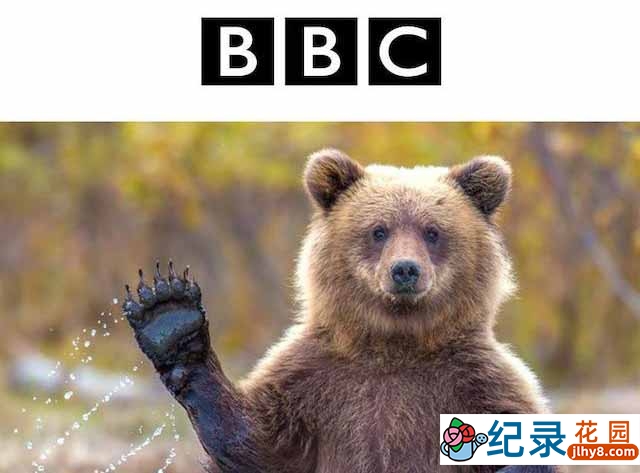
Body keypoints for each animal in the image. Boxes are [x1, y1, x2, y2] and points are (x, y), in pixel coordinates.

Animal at [122, 149, 556, 473]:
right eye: (379, 230)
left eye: (432, 232)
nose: (405, 270)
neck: (394, 342)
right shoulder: (312, 380)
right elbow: (258, 443)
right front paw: (170, 317)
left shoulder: (476, 380)